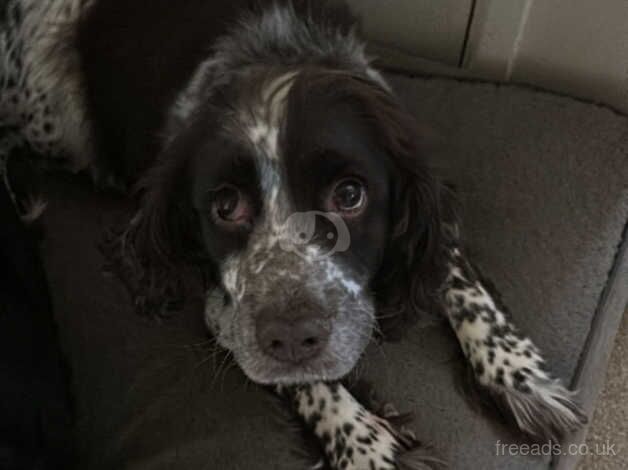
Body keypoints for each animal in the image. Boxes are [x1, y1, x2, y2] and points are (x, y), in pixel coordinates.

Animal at [1, 1, 588, 468]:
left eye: (349, 195)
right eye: (225, 205)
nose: (291, 332)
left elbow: (456, 276)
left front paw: (517, 372)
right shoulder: (224, 305)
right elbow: (298, 372)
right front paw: (370, 447)